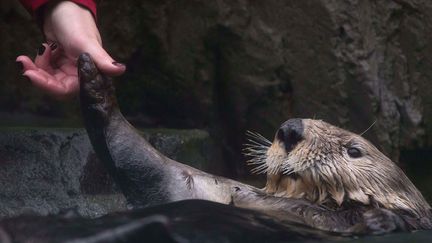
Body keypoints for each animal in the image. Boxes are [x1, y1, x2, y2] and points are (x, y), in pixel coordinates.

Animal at [78, 53, 432, 235]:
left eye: (354, 150)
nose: (290, 129)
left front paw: (379, 220)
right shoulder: (206, 188)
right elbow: (149, 167)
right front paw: (92, 77)